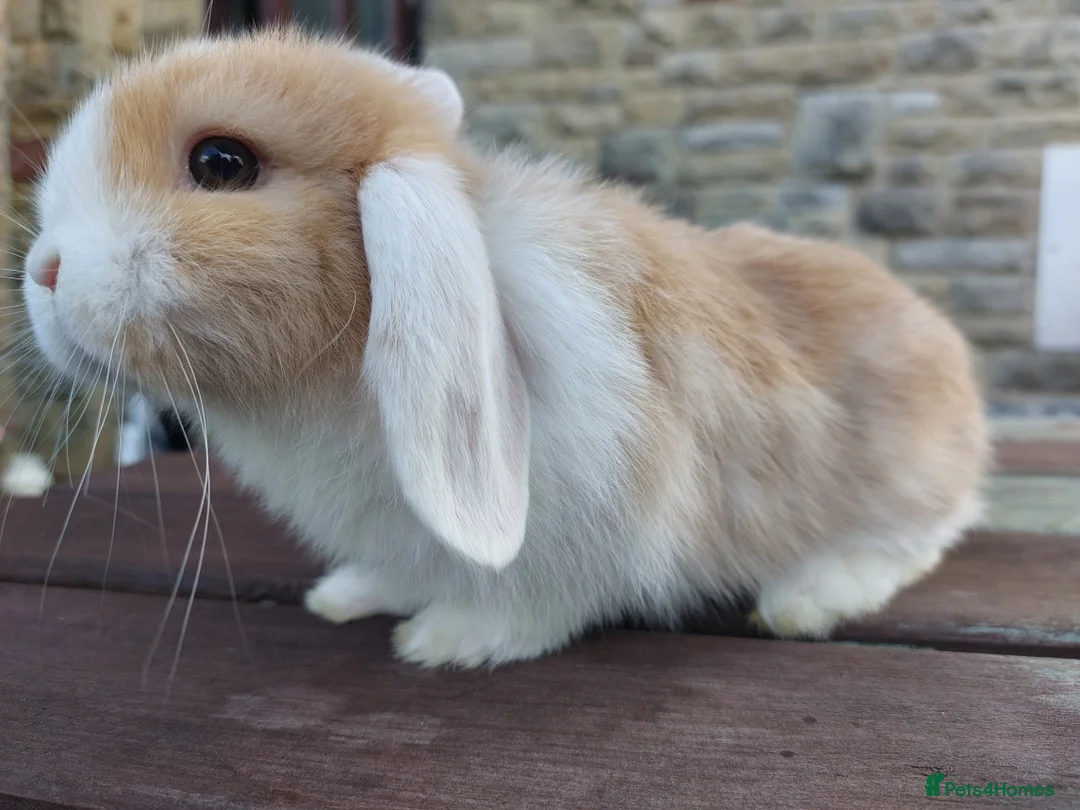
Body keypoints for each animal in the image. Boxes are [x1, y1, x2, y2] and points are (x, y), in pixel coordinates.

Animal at [21, 29, 990, 668]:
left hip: (900, 485)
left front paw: (448, 638)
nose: (43, 271)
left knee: (914, 541)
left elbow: (538, 602)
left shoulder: (587, 528)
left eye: (221, 162)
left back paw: (808, 597)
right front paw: (350, 595)